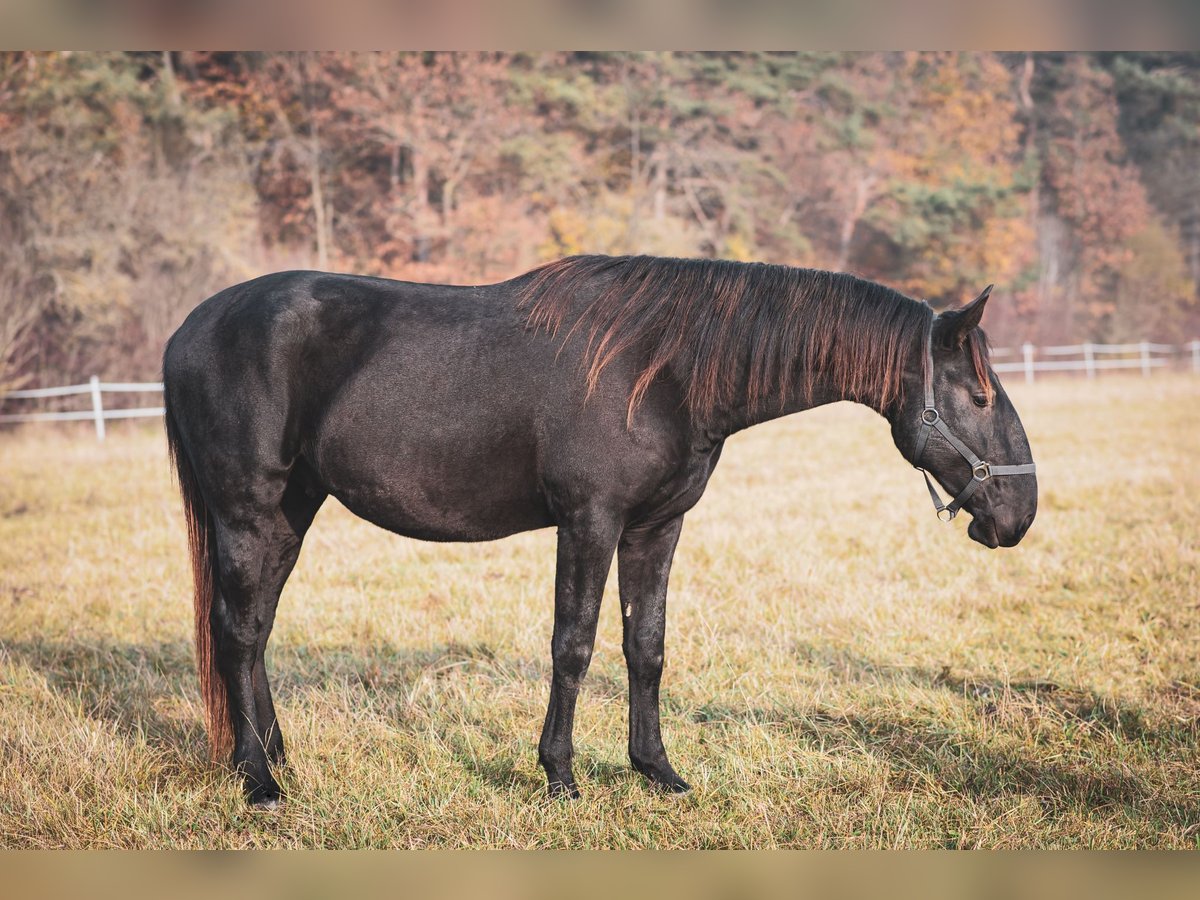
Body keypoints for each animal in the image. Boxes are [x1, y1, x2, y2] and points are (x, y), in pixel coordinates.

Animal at [164, 255, 1036, 811]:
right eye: (981, 397)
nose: (1020, 514)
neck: (664, 370)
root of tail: (187, 331)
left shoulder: (656, 526)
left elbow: (645, 646)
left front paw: (657, 771)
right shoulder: (589, 520)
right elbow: (574, 645)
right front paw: (560, 777)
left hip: (290, 512)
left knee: (256, 631)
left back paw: (274, 757)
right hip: (248, 510)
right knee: (237, 632)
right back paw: (260, 783)